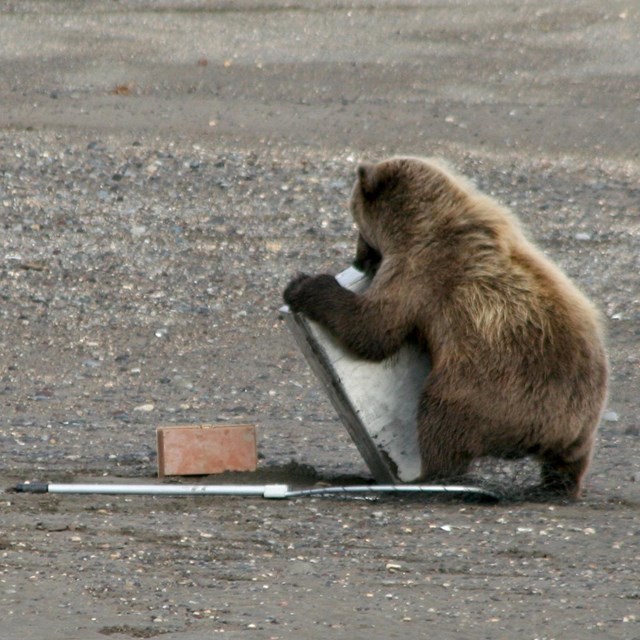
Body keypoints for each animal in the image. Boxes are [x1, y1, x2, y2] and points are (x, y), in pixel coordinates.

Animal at [284, 156, 608, 500]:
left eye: (358, 224)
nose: (359, 260)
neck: (421, 222)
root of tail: (551, 430)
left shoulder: (419, 272)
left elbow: (373, 330)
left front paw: (303, 285)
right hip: (580, 420)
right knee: (571, 458)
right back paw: (556, 486)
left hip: (493, 388)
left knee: (441, 418)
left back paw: (428, 477)